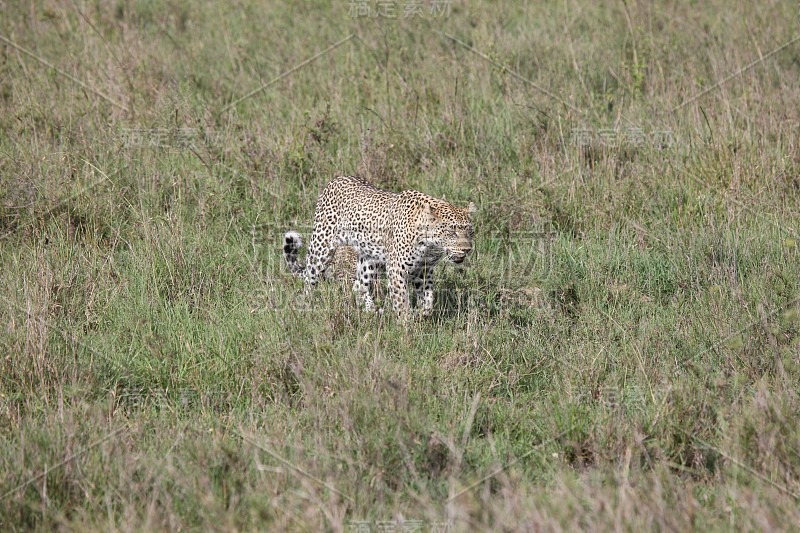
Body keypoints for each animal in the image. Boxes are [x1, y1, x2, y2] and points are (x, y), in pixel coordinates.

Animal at [282, 176, 476, 320]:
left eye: (470, 231)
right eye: (451, 232)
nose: (467, 249)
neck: (429, 245)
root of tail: (335, 179)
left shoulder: (424, 270)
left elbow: (428, 300)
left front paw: (420, 315)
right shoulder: (397, 269)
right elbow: (402, 303)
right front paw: (406, 330)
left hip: (369, 259)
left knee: (359, 286)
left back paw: (372, 311)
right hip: (321, 247)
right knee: (310, 279)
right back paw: (307, 305)